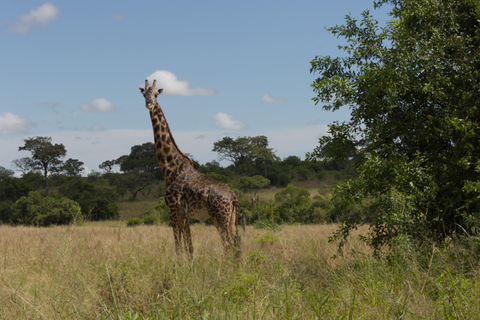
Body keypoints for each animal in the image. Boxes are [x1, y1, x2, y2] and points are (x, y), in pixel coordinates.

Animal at [139, 79, 240, 255]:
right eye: (144, 93)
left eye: (156, 94)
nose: (149, 103)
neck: (170, 169)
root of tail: (233, 197)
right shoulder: (184, 214)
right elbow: (189, 246)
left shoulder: (173, 209)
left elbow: (178, 246)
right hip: (231, 218)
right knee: (235, 243)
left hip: (220, 216)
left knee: (228, 244)